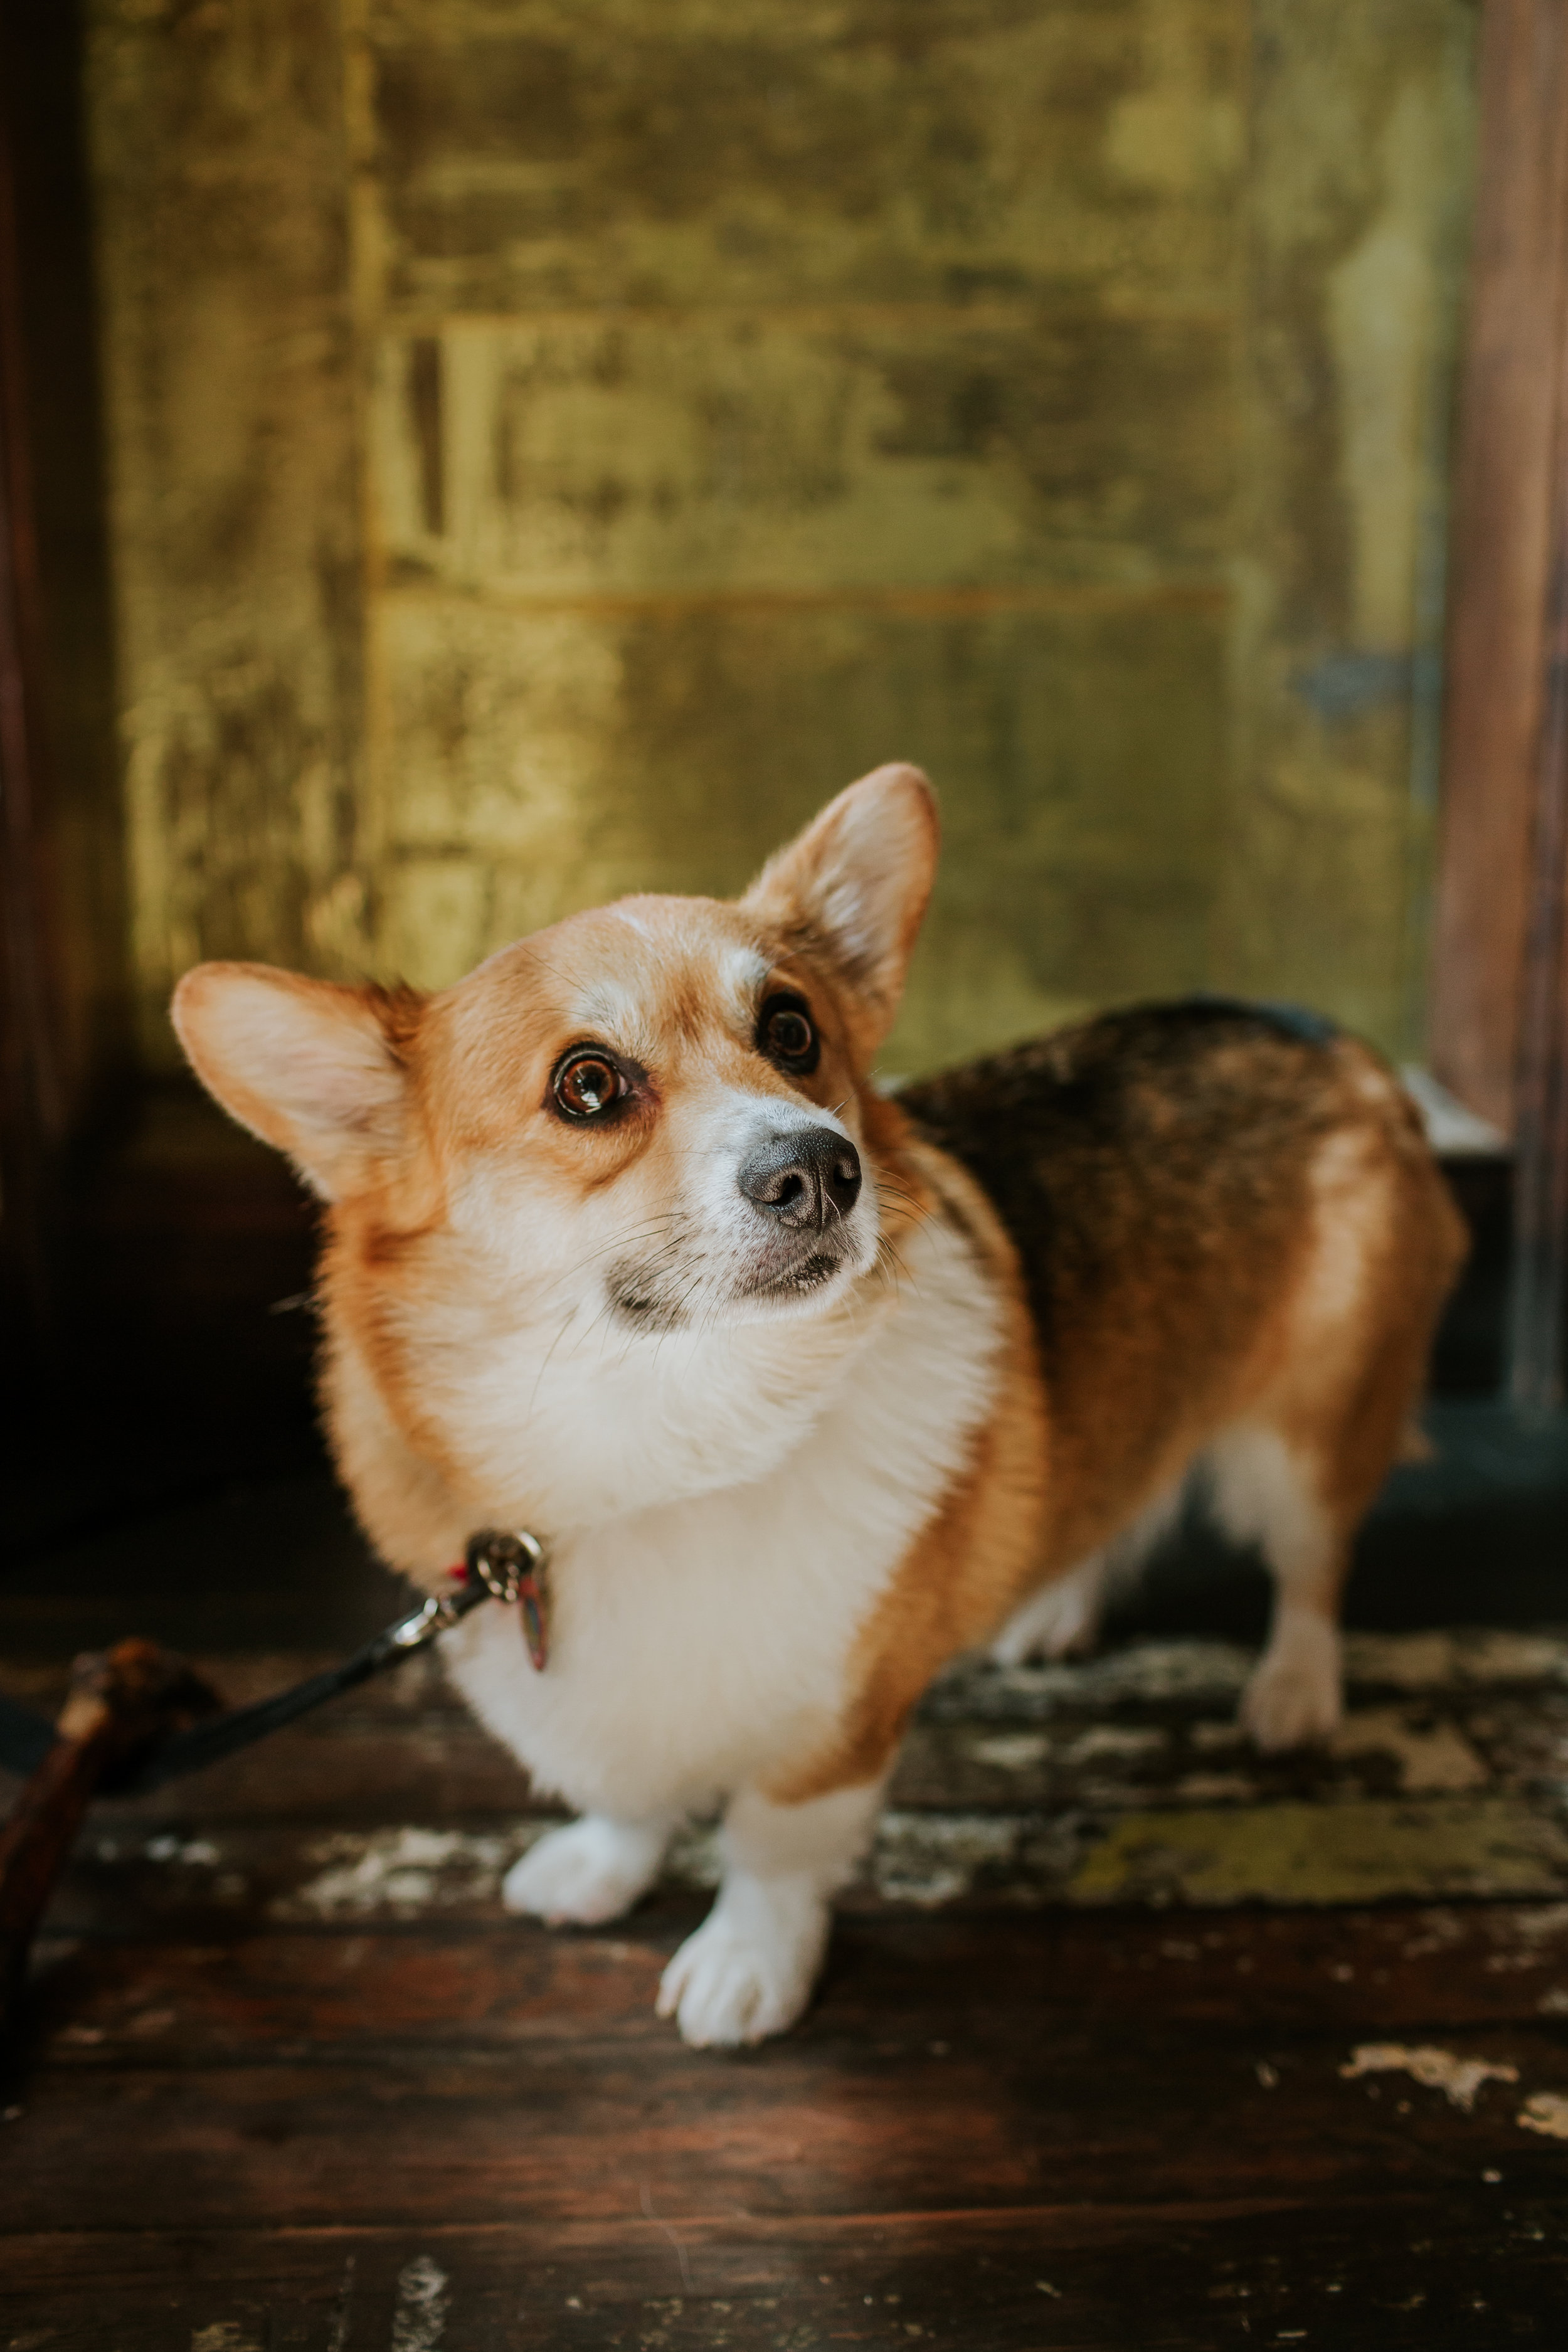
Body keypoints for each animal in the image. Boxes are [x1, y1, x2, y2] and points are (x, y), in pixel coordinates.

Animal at [175, 766, 1476, 2042]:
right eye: (587, 1085)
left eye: (791, 1029)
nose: (819, 1170)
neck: (665, 1438)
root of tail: (1327, 1035)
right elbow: (628, 1796)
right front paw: (601, 1868)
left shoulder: (833, 1728)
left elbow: (770, 1848)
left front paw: (746, 1966)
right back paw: (1054, 1603)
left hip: (1309, 1430)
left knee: (1313, 1566)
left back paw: (1294, 1691)